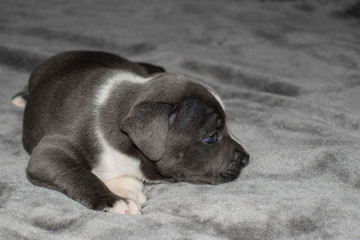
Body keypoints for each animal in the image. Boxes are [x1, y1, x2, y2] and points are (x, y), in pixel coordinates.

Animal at [10, 50, 248, 214]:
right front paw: (116, 201)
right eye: (211, 137)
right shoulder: (49, 155)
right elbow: (79, 175)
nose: (246, 159)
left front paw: (128, 188)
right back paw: (22, 97)